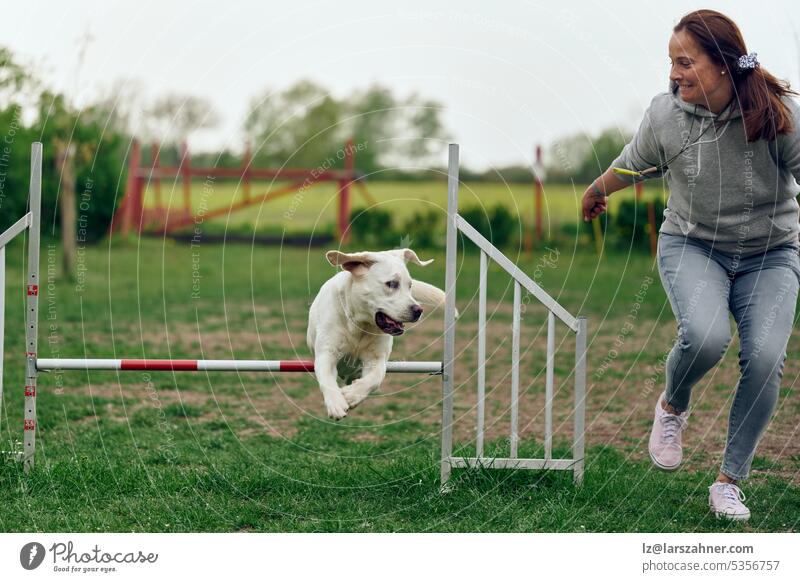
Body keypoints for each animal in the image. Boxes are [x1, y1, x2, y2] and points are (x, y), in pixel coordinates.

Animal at [306, 248, 446, 420]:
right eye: (391, 284)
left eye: (410, 285)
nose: (418, 310)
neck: (360, 324)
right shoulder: (326, 354)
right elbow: (326, 378)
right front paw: (336, 403)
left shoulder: (376, 359)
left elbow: (375, 378)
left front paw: (352, 394)